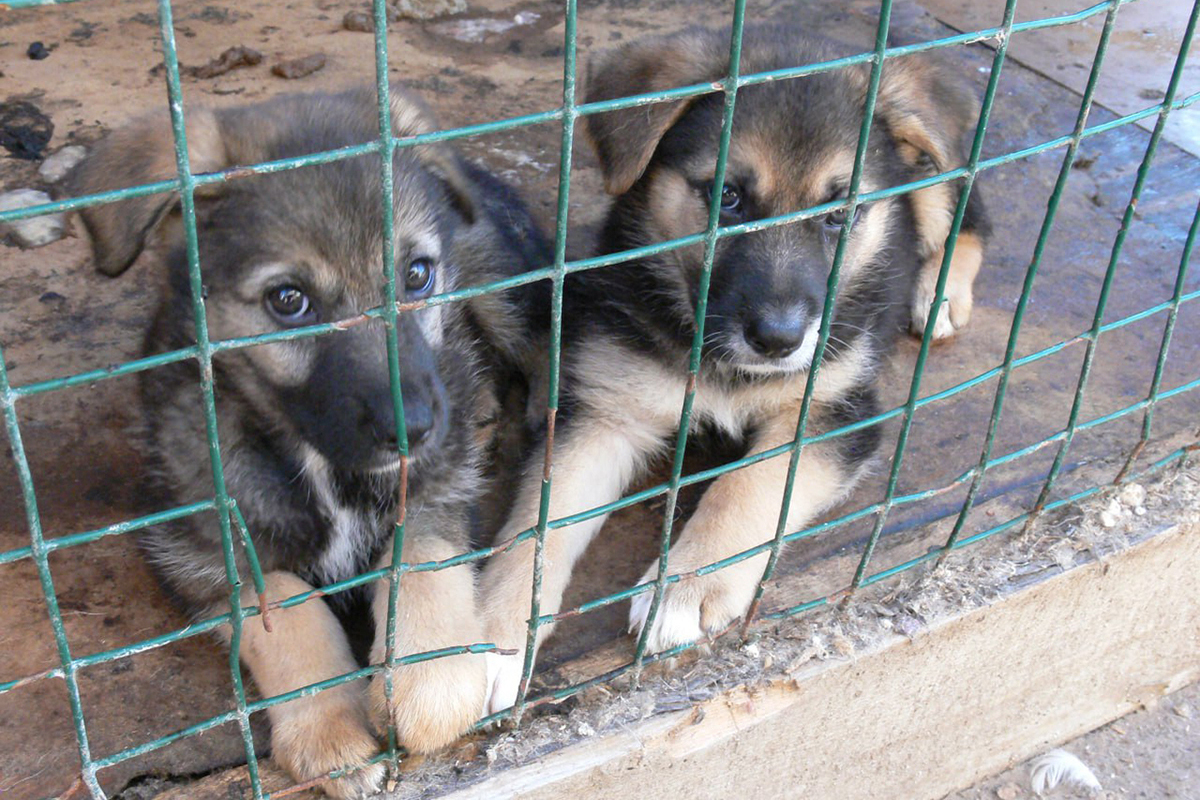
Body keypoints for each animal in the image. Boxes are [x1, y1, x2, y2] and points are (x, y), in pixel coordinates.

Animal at [68, 89, 547, 800]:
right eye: (288, 300)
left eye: (417, 275)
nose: (416, 427)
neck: (319, 459)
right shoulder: (199, 541)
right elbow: (288, 611)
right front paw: (330, 735)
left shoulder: (436, 487)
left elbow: (421, 558)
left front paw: (430, 683)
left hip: (498, 281)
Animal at [472, 26, 988, 714]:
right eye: (728, 197)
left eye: (841, 213)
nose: (778, 340)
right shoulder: (606, 410)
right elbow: (535, 527)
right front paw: (486, 637)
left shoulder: (834, 410)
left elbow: (750, 485)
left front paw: (688, 588)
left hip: (934, 175)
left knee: (969, 217)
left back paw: (939, 293)